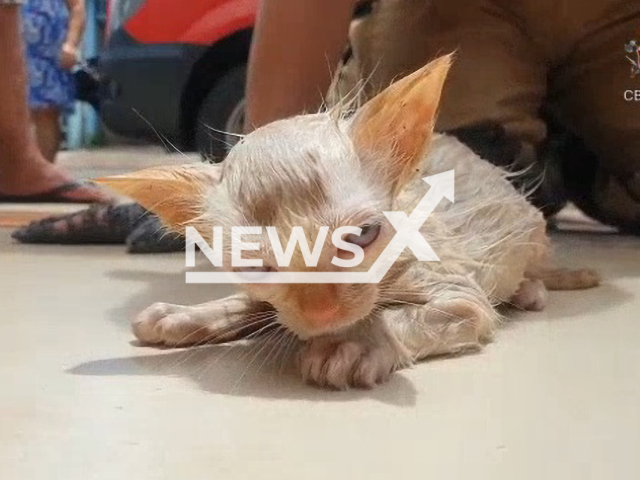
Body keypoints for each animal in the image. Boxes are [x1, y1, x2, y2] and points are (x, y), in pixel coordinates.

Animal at [100, 54, 600, 388]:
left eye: (362, 236)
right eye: (254, 265)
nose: (323, 312)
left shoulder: (459, 293)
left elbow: (414, 314)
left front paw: (360, 342)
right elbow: (256, 306)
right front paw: (187, 315)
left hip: (530, 229)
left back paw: (531, 289)